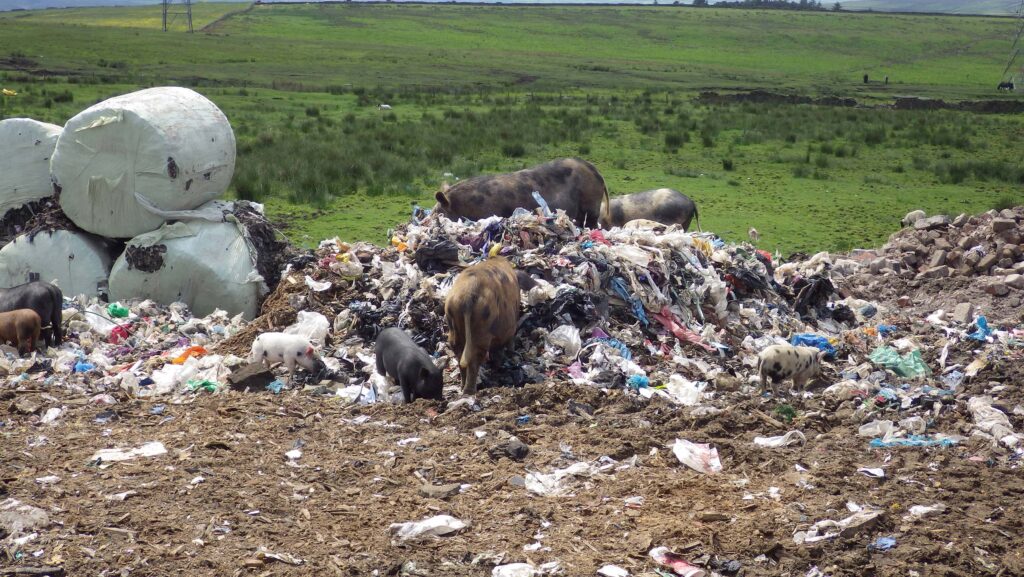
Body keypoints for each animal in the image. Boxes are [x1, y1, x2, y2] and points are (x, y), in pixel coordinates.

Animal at [444, 258, 520, 397]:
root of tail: (467, 297)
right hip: (481, 330)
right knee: (475, 358)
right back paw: (470, 392)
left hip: (453, 324)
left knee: (459, 353)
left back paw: (462, 388)